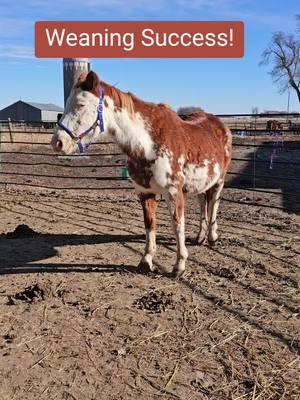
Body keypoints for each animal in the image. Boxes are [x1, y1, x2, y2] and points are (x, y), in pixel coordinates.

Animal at [51, 72, 232, 276]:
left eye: (81, 104)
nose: (57, 142)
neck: (148, 143)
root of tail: (220, 125)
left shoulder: (174, 192)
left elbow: (177, 225)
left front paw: (179, 265)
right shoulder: (145, 192)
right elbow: (149, 225)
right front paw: (146, 261)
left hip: (219, 181)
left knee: (214, 204)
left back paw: (212, 236)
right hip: (201, 183)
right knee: (203, 203)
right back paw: (200, 237)